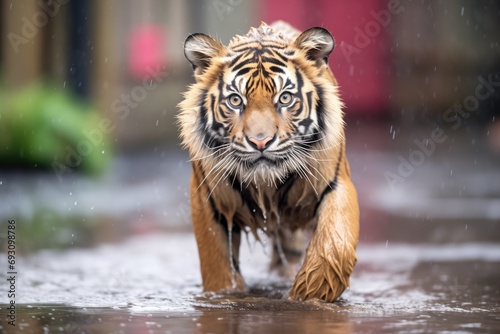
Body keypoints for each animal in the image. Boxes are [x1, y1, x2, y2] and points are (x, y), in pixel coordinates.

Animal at [179, 21, 360, 302]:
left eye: (285, 98)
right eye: (236, 100)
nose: (260, 142)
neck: (266, 186)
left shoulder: (335, 184)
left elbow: (334, 247)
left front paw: (305, 295)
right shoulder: (209, 202)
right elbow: (218, 268)